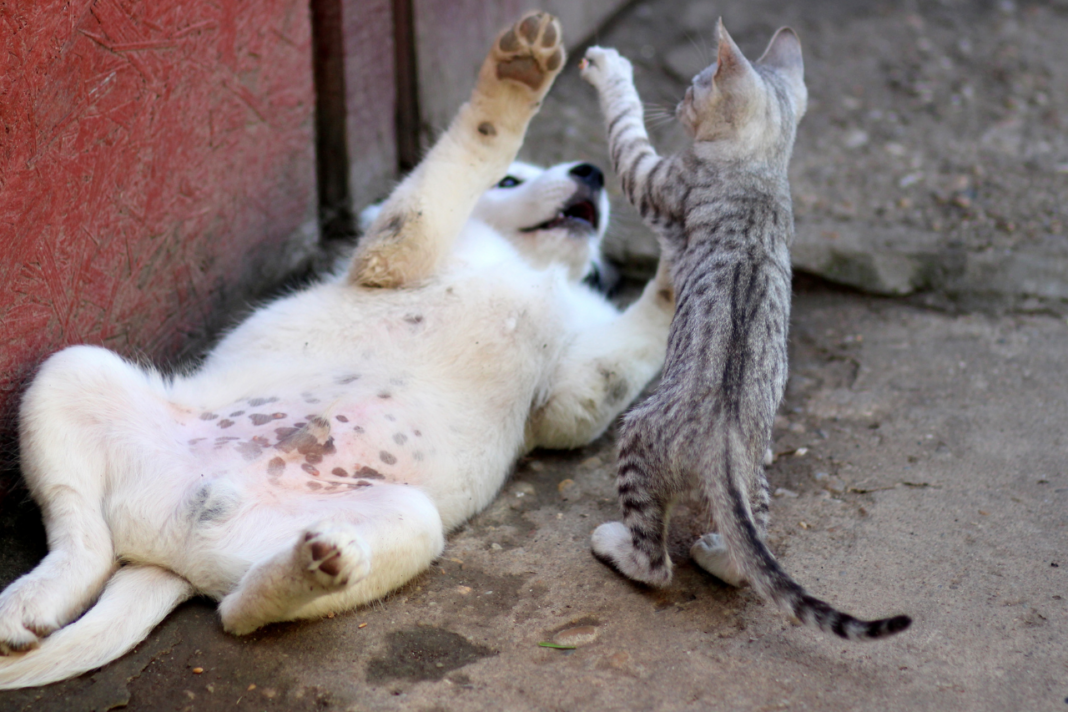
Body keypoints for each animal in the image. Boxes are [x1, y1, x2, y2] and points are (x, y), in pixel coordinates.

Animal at [0, 12, 670, 691]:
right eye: (511, 180)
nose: (592, 172)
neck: (532, 268)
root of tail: (170, 550)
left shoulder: (571, 395)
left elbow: (638, 337)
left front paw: (682, 244)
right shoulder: (395, 257)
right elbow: (465, 155)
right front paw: (517, 78)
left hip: (409, 519)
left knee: (235, 609)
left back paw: (310, 567)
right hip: (70, 370)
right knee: (86, 540)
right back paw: (29, 603)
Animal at [585, 20, 909, 640]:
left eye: (694, 86)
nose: (679, 100)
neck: (760, 167)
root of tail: (722, 445)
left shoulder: (654, 178)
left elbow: (624, 127)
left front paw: (610, 69)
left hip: (635, 436)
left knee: (655, 564)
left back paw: (617, 546)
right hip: (757, 473)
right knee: (745, 558)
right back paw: (717, 552)